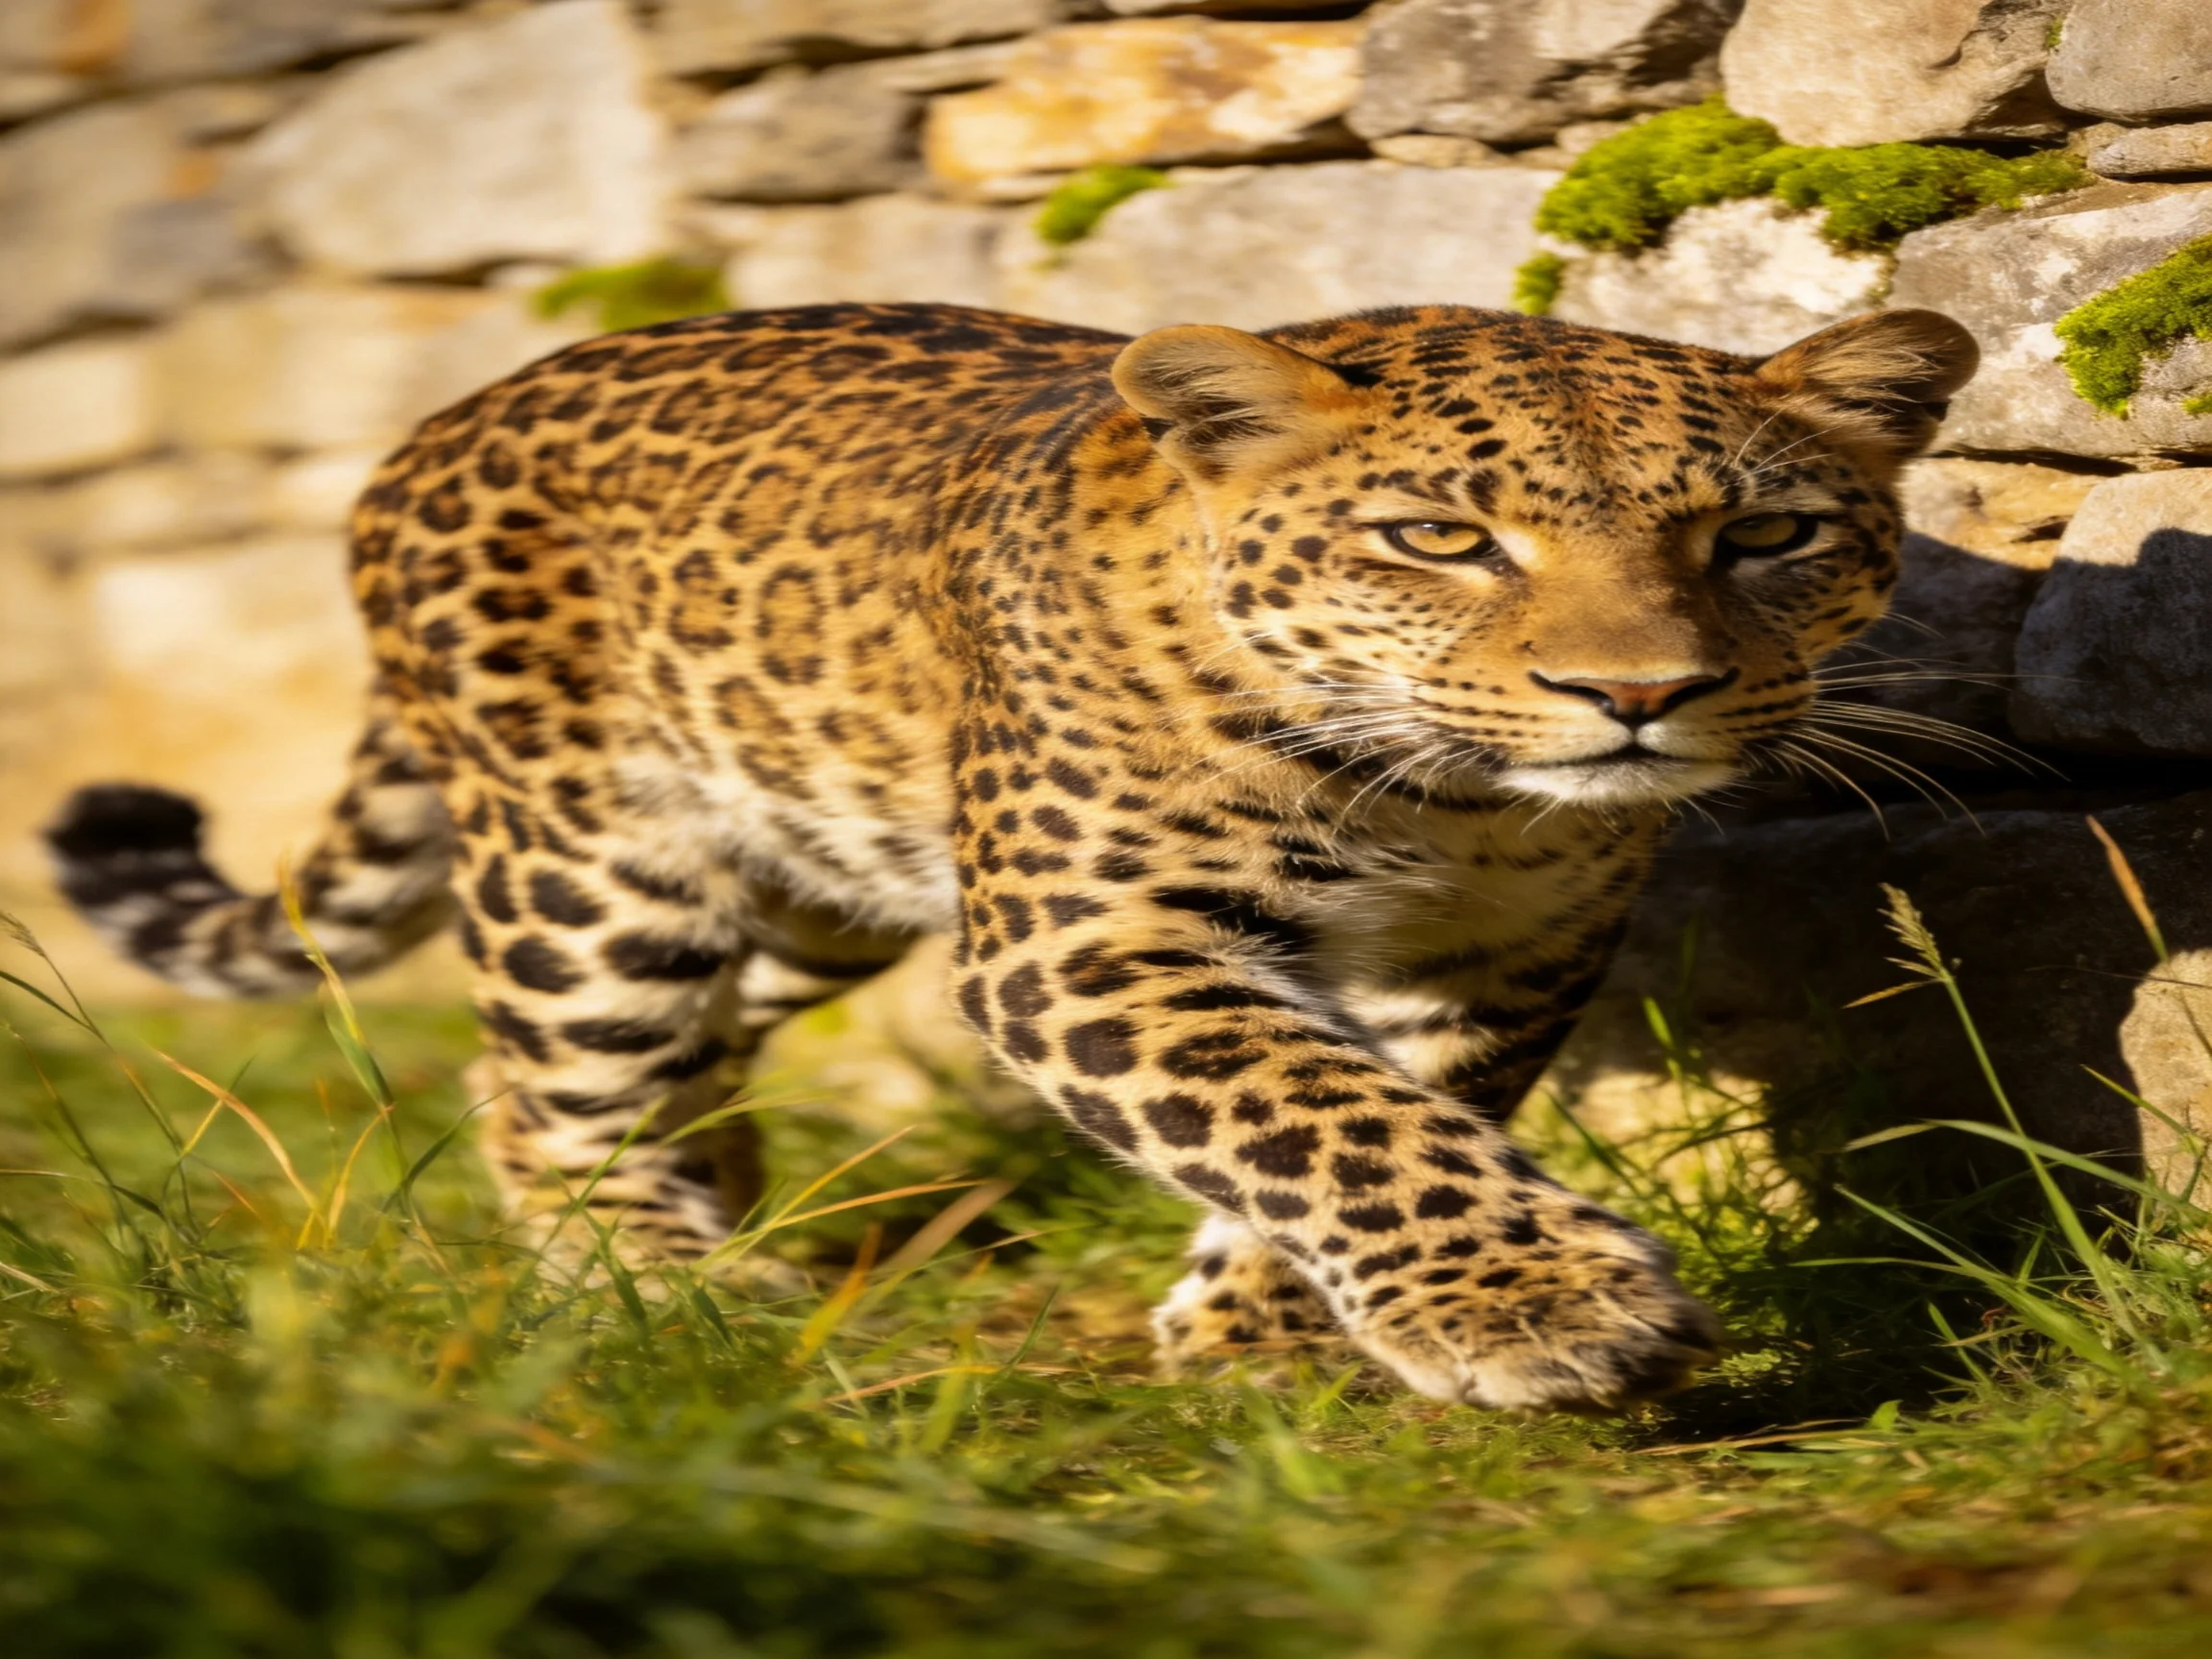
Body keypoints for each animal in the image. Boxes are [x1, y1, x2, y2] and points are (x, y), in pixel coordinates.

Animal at [45, 299, 1976, 1413]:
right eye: (1438, 538)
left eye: (1766, 535)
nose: (1638, 697)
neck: (1442, 800)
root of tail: (439, 425)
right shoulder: (1086, 939)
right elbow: (1315, 1112)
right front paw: (1538, 1305)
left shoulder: (1505, 953)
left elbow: (1384, 1105)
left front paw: (1263, 1334)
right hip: (599, 865)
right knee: (547, 1088)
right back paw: (663, 1281)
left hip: (811, 878)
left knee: (653, 1046)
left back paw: (733, 1202)